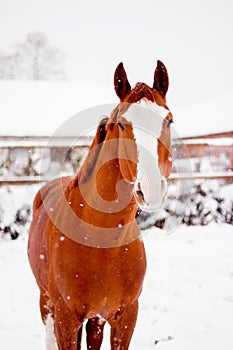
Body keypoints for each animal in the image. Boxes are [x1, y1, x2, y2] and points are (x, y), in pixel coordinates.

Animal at [27, 60, 173, 350]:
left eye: (169, 120)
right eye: (122, 125)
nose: (152, 188)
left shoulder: (125, 317)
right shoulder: (65, 320)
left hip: (96, 319)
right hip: (46, 303)